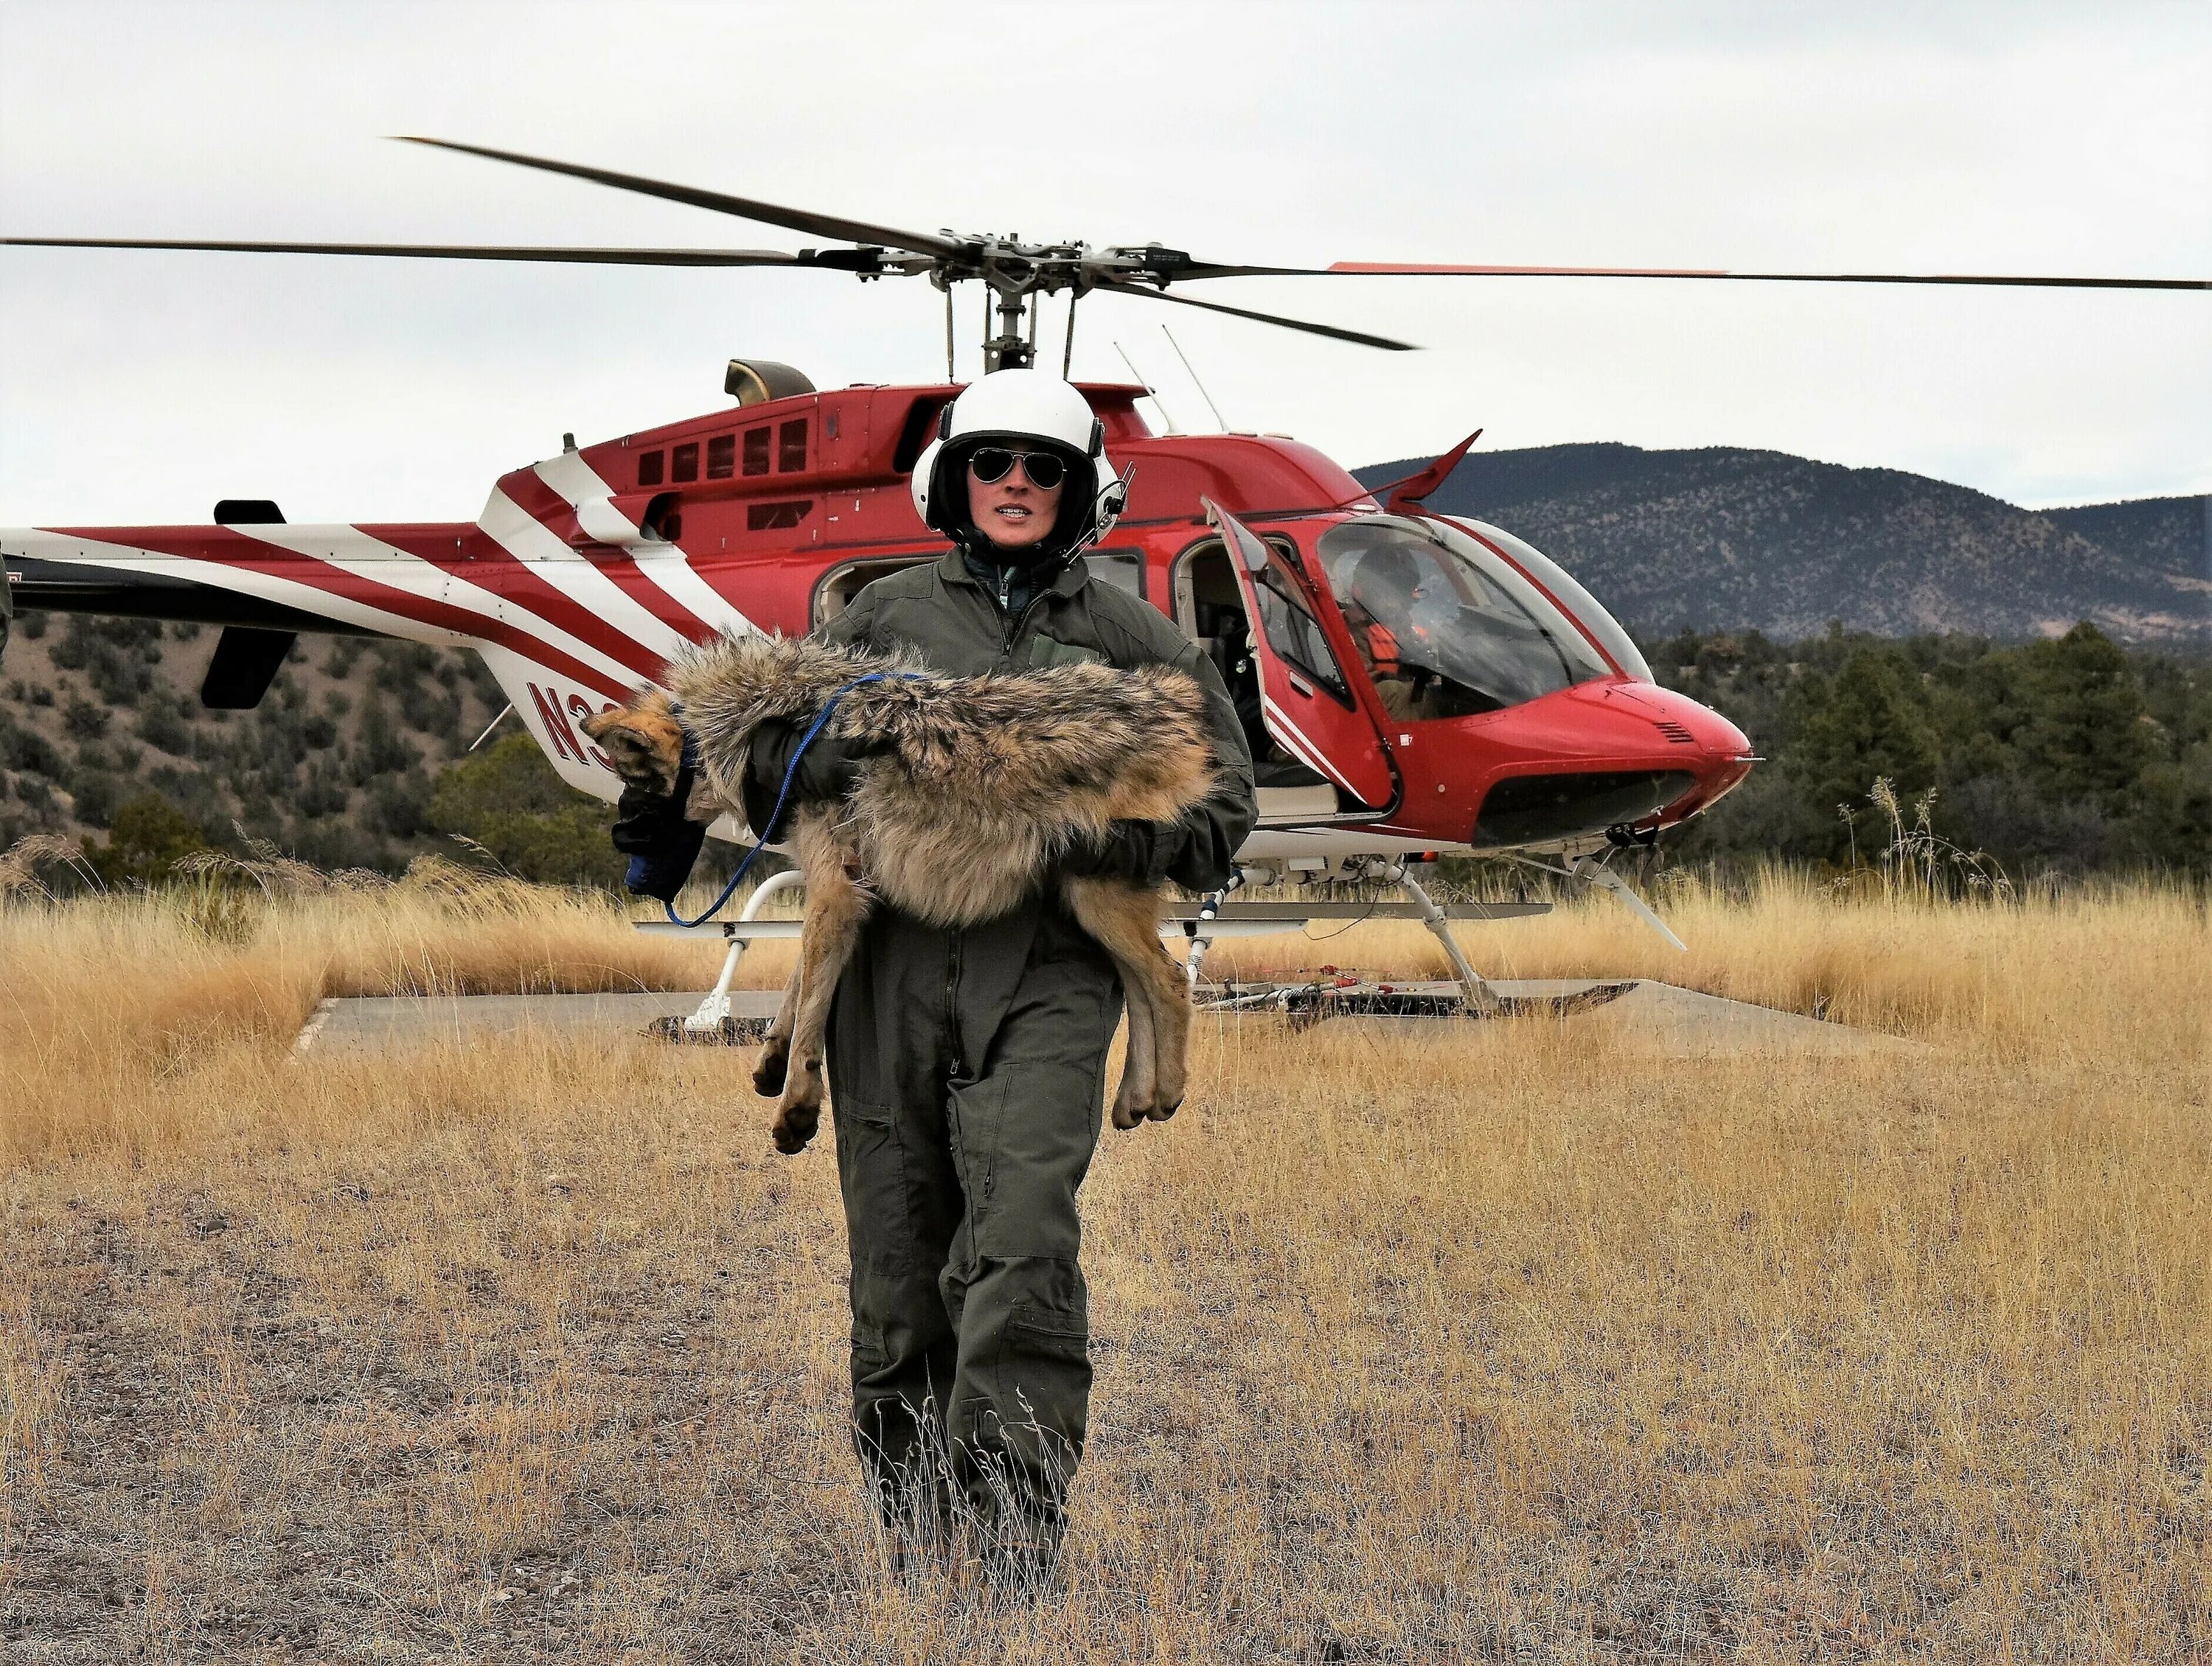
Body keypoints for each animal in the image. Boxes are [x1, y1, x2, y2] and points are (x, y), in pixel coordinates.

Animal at [580, 637, 1221, 1159]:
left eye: (634, 787)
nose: (620, 850)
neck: (774, 727)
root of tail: (1170, 697)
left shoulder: (836, 890)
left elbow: (811, 1006)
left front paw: (797, 1109)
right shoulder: (837, 889)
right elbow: (797, 985)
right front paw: (771, 1057)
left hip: (1100, 895)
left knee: (1169, 981)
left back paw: (1166, 1094)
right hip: (1090, 904)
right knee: (1142, 986)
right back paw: (1135, 1099)